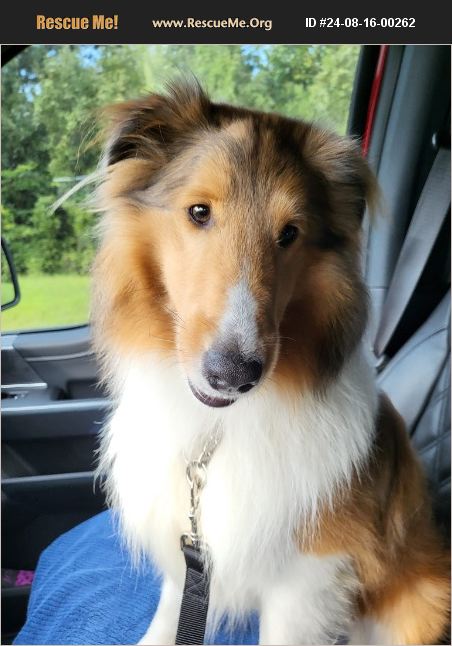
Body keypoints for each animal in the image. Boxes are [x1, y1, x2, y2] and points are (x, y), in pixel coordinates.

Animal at [93, 81, 450, 644]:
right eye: (199, 212)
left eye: (290, 233)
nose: (234, 375)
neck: (216, 427)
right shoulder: (189, 552)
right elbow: (171, 613)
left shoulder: (308, 580)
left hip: (424, 601)